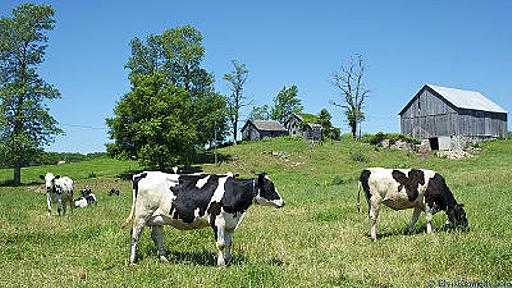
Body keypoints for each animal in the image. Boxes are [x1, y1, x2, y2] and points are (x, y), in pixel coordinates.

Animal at [122, 170, 286, 266]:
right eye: (270, 187)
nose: (282, 202)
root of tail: (141, 174)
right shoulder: (218, 221)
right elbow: (221, 244)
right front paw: (221, 264)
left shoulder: (230, 223)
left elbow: (228, 243)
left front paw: (229, 261)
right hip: (142, 214)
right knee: (135, 236)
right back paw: (132, 260)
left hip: (157, 218)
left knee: (157, 237)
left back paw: (164, 259)